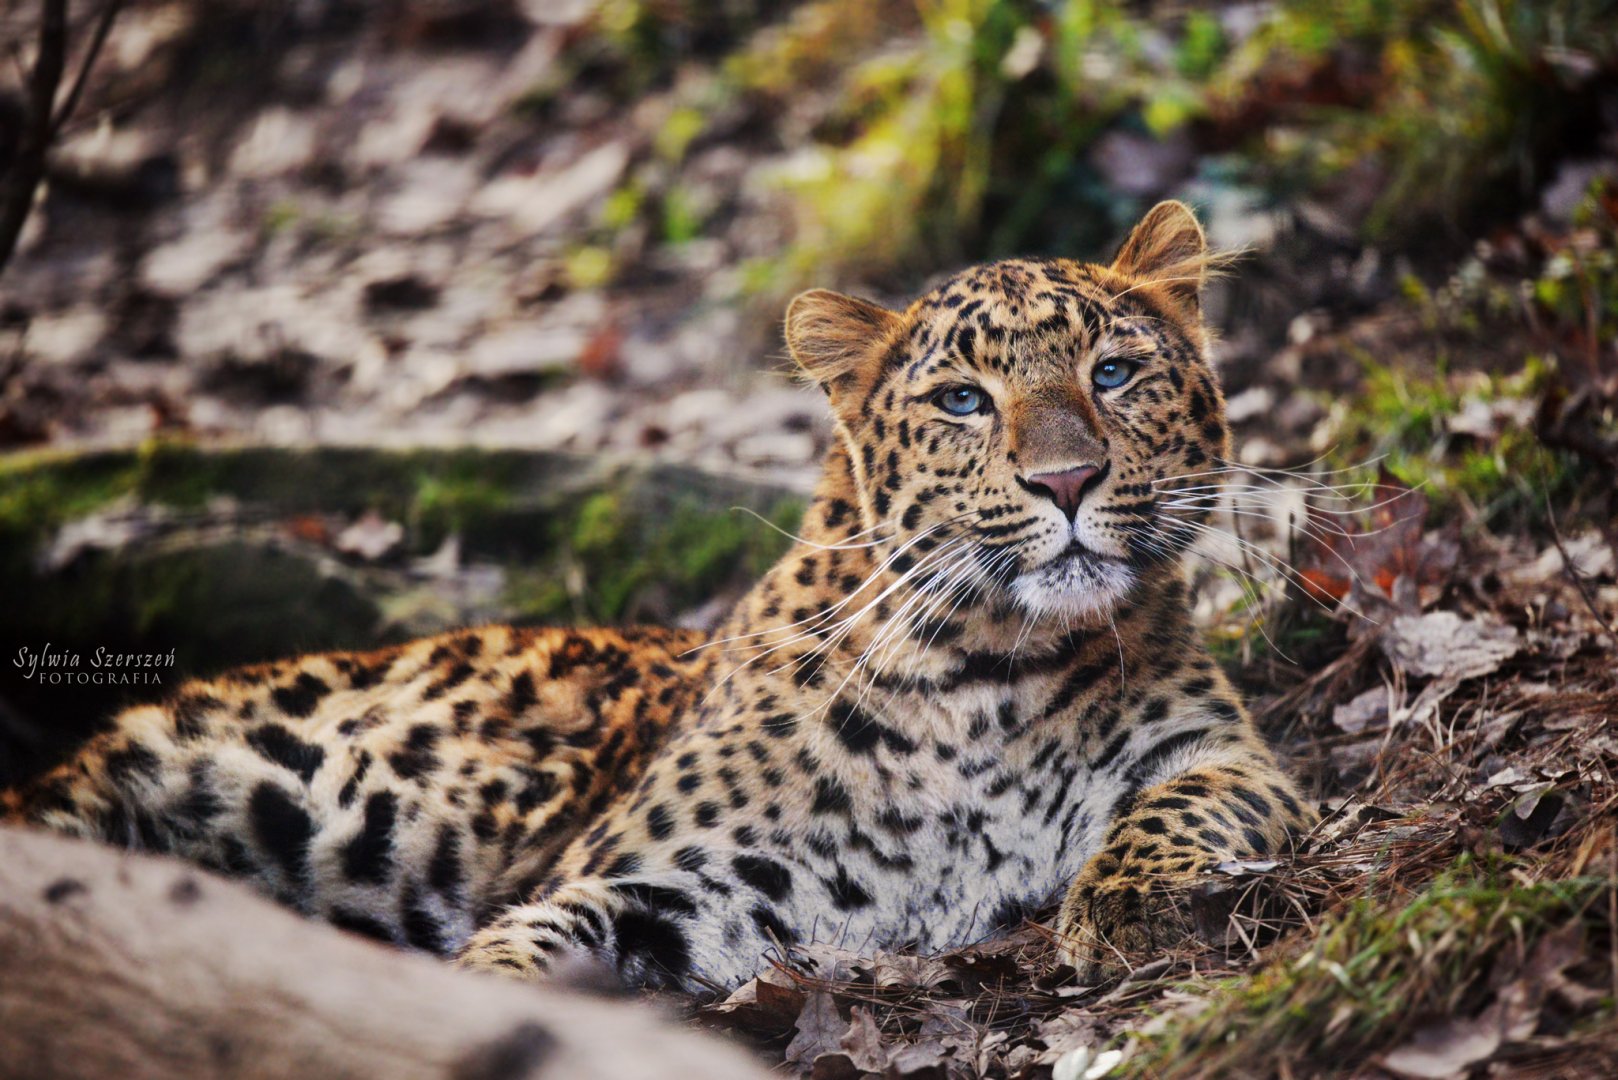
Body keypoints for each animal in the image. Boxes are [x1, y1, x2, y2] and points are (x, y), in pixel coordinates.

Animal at [3, 201, 1313, 992]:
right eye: (961, 402)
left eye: (1115, 372)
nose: (1067, 480)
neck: (987, 675)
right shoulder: (678, 874)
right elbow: (541, 928)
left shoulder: (1224, 755)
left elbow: (1187, 806)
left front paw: (1126, 907)